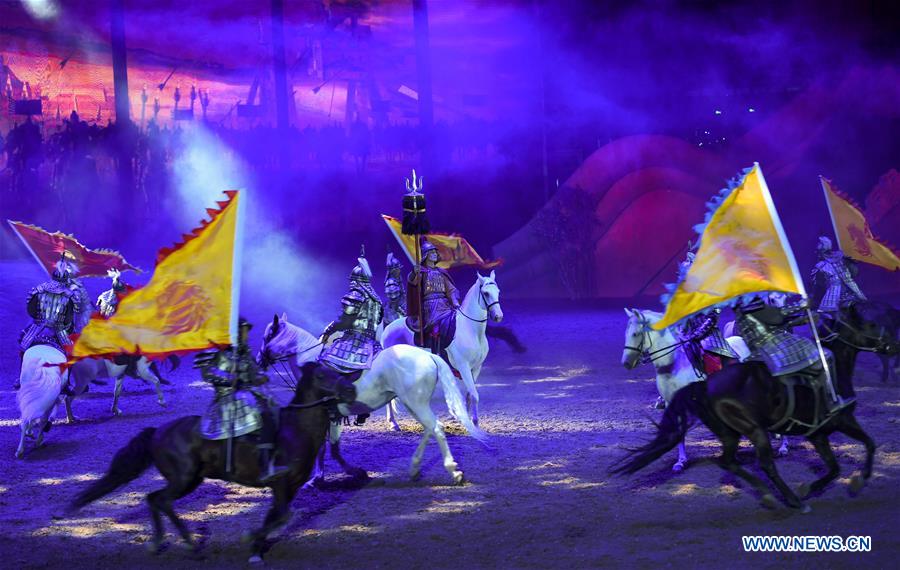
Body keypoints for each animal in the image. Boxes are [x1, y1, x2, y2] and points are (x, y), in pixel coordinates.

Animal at [67, 362, 356, 560]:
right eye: (321, 375)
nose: (350, 389)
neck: (295, 430)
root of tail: (159, 431)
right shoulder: (281, 484)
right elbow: (282, 516)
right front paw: (250, 539)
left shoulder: (289, 488)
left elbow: (275, 516)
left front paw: (256, 550)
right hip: (183, 479)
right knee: (160, 500)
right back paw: (189, 544)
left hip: (191, 479)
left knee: (154, 499)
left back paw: (161, 542)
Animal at [256, 310, 488, 484]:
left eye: (268, 336)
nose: (259, 360)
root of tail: (428, 355)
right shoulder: (334, 416)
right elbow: (333, 447)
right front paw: (340, 473)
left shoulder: (323, 416)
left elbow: (325, 448)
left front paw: (325, 476)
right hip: (413, 404)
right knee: (431, 428)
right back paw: (414, 468)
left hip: (416, 403)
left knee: (436, 428)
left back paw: (453, 471)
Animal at [382, 268, 502, 424]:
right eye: (486, 293)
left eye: (498, 292)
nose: (498, 316)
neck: (471, 329)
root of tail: (386, 330)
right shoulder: (463, 366)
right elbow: (474, 394)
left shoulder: (476, 368)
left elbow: (470, 394)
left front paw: (470, 420)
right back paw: (393, 423)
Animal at [616, 302, 896, 510]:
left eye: (636, 333)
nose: (627, 363)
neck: (674, 364)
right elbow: (679, 436)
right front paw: (680, 462)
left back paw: (782, 448)